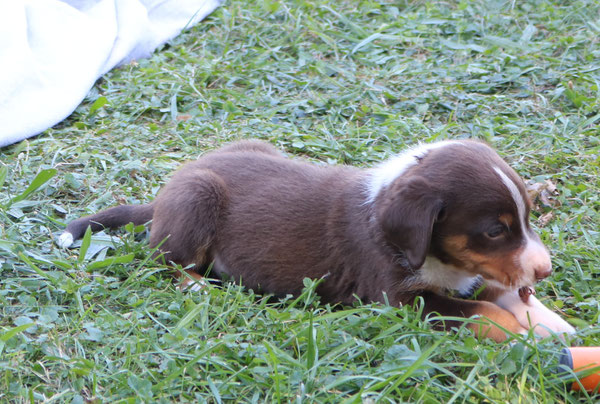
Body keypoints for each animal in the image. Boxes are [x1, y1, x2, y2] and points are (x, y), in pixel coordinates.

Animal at [58, 139, 576, 340]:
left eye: (528, 218)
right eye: (495, 230)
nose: (546, 269)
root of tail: (167, 189)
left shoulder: (467, 274)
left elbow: (502, 291)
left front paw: (551, 323)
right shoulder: (399, 298)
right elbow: (484, 309)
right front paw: (525, 335)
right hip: (197, 197)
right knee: (167, 260)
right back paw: (199, 286)